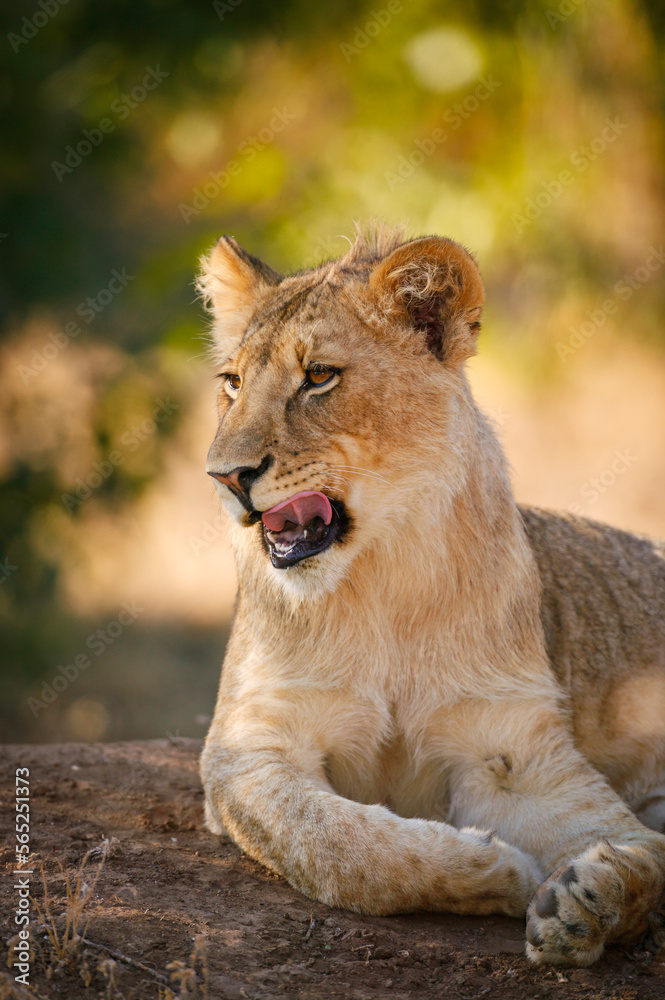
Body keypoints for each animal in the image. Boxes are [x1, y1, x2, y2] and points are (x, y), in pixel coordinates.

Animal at [198, 226, 665, 966]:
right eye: (233, 383)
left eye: (319, 376)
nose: (224, 476)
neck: (381, 575)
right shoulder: (248, 746)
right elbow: (335, 842)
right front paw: (500, 870)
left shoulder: (513, 754)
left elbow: (647, 853)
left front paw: (586, 902)